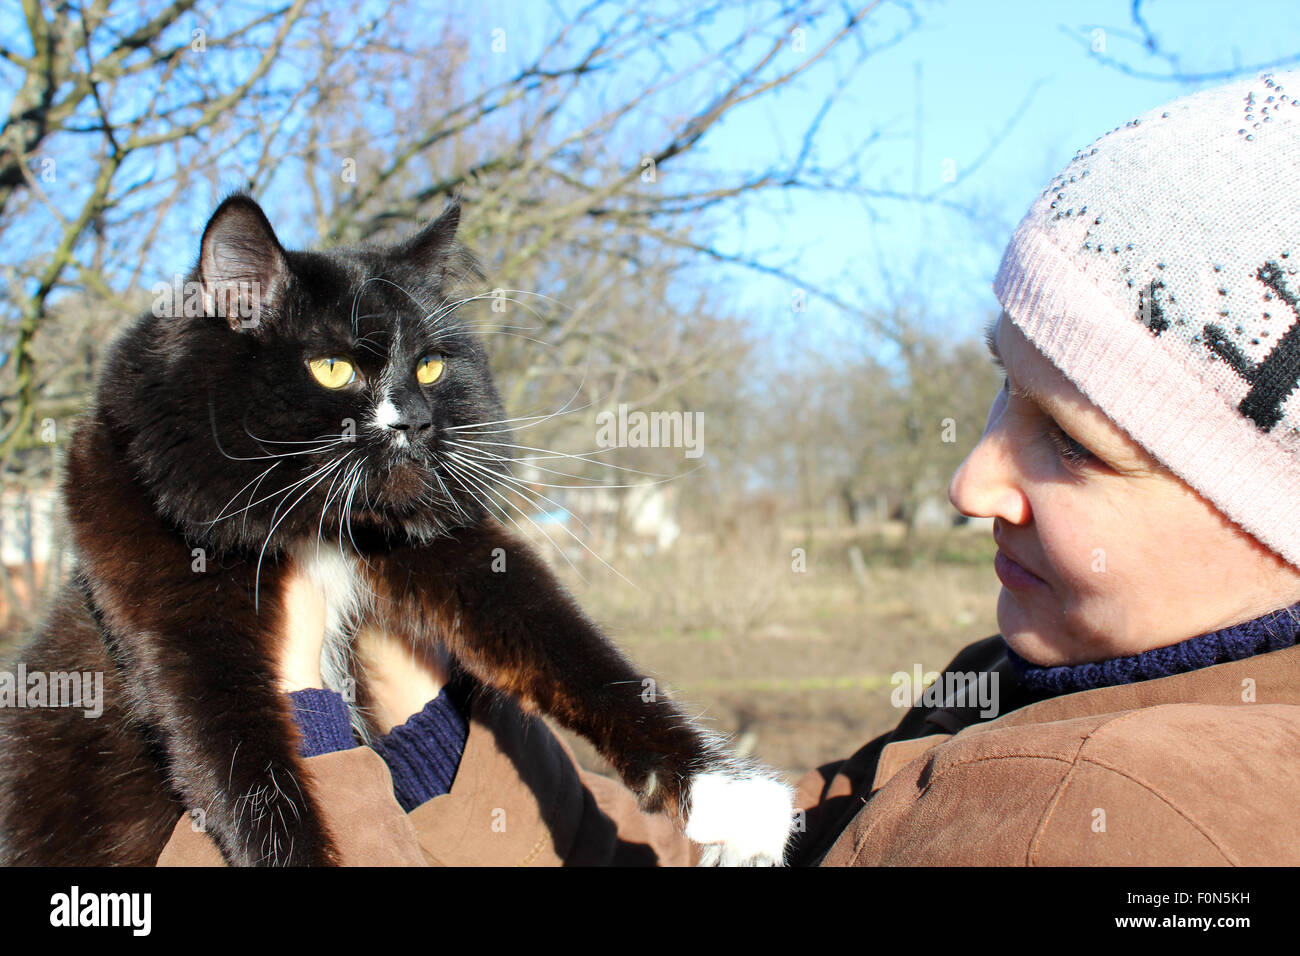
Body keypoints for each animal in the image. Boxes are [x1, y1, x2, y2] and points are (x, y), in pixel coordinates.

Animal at [0, 195, 790, 868]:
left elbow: (576, 652)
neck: (328, 530)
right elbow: (248, 781)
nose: (414, 418)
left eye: (431, 366)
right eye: (332, 367)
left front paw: (730, 792)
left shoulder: (463, 554)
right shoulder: (183, 632)